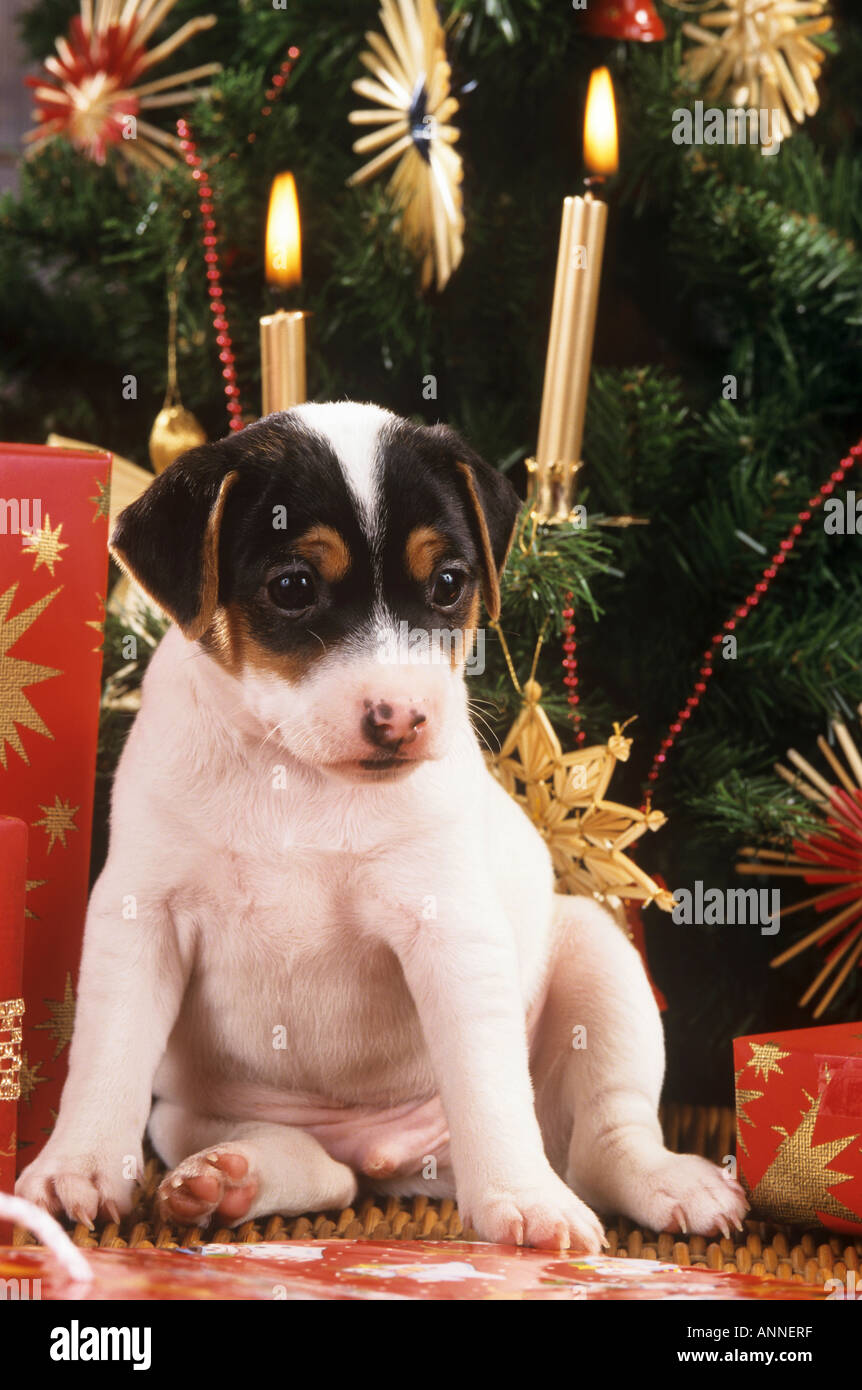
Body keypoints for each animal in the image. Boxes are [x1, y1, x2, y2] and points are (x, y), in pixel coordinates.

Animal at [18, 403, 745, 1251]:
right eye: (293, 587)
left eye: (449, 583)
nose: (401, 716)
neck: (298, 777)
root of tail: (393, 1160)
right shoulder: (141, 918)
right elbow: (107, 1052)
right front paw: (79, 1166)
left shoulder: (450, 930)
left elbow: (490, 1084)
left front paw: (525, 1199)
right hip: (199, 1116)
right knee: (320, 1173)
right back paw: (229, 1180)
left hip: (600, 962)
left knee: (604, 1138)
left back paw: (664, 1182)